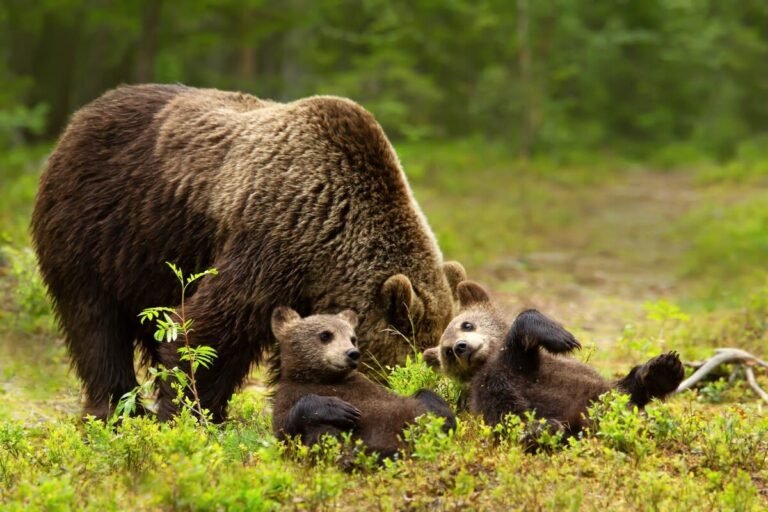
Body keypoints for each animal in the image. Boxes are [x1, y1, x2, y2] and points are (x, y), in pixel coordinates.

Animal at [31, 83, 466, 422]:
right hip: (95, 227)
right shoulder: (270, 240)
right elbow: (207, 330)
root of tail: (81, 115)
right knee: (95, 323)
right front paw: (194, 416)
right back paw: (118, 411)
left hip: (146, 260)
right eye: (411, 365)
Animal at [270, 307, 456, 459]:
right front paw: (339, 407)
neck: (326, 379)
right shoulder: (289, 395)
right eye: (325, 335)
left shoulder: (369, 386)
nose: (352, 353)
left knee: (428, 398)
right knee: (324, 432)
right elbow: (285, 428)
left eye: (353, 338)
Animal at [425, 281, 685, 434]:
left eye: (467, 324)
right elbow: (506, 412)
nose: (460, 347)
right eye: (447, 352)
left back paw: (664, 369)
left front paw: (560, 336)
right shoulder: (491, 385)